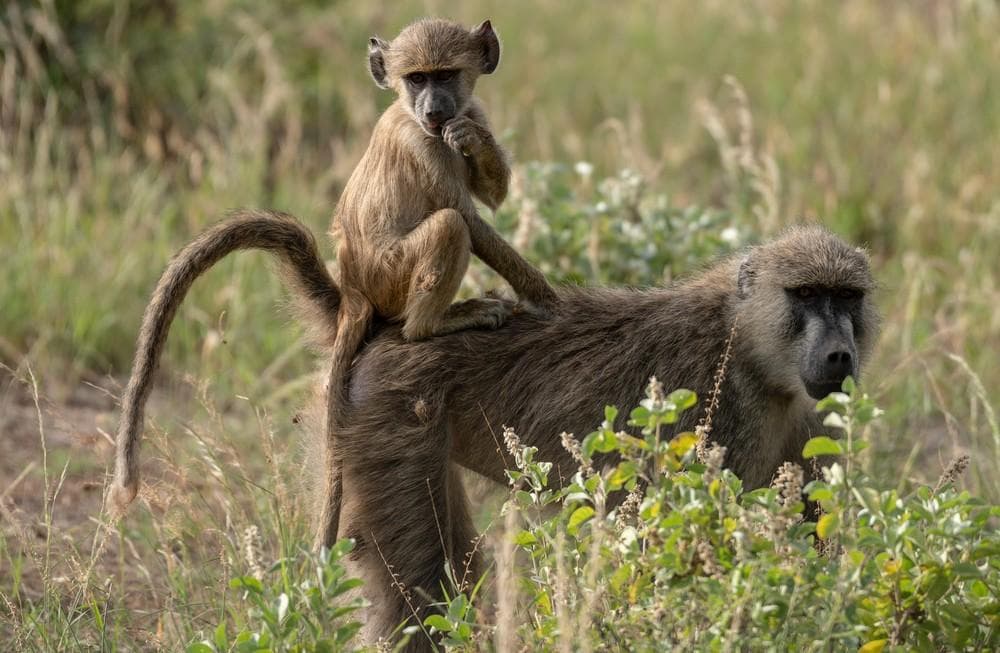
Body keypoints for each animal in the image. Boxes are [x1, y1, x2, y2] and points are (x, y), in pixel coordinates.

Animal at [316, 17, 558, 548]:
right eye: (416, 79)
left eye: (445, 75)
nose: (434, 109)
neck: (411, 115)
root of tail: (354, 291)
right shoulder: (421, 144)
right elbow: (469, 217)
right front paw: (549, 300)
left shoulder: (469, 112)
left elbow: (491, 193)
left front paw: (473, 140)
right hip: (392, 278)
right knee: (449, 226)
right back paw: (434, 324)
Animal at [324, 225, 879, 648]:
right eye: (805, 294)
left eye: (847, 297)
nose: (838, 355)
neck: (748, 343)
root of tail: (388, 331)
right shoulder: (719, 411)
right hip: (395, 414)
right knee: (425, 592)